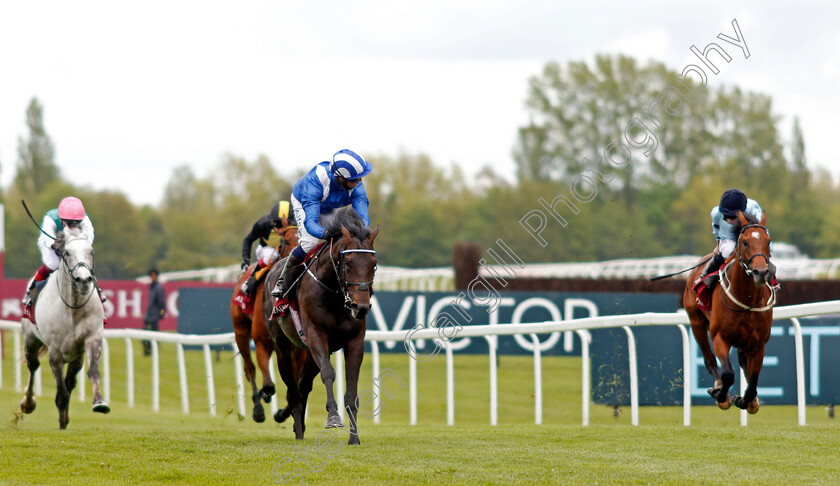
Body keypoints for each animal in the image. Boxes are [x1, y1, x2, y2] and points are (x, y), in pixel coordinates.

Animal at [19, 226, 110, 428]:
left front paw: (99, 402)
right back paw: (28, 403)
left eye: (91, 251)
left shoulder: (92, 339)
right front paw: (61, 424)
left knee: (70, 381)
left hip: (76, 355)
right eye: (67, 252)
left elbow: (92, 372)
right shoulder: (55, 351)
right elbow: (60, 392)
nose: (83, 279)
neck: (74, 308)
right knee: (33, 366)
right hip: (31, 339)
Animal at [230, 219, 298, 422]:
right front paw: (263, 398)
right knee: (249, 368)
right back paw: (258, 407)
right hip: (240, 330)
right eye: (285, 241)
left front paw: (283, 412)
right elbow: (268, 384)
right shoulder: (262, 341)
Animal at [264, 209, 378, 444]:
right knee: (293, 390)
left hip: (308, 353)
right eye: (348, 263)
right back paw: (298, 432)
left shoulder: (354, 341)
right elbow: (328, 373)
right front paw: (333, 417)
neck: (334, 293)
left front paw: (354, 438)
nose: (360, 307)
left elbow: (351, 389)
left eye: (374, 264)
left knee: (302, 384)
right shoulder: (316, 336)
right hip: (283, 347)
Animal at [684, 211, 776, 412]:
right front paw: (720, 395)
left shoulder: (759, 344)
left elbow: (754, 380)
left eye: (768, 241)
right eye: (745, 242)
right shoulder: (720, 336)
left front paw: (746, 400)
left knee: (742, 360)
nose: (760, 272)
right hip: (696, 321)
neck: (746, 300)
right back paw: (718, 387)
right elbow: (727, 374)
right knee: (709, 358)